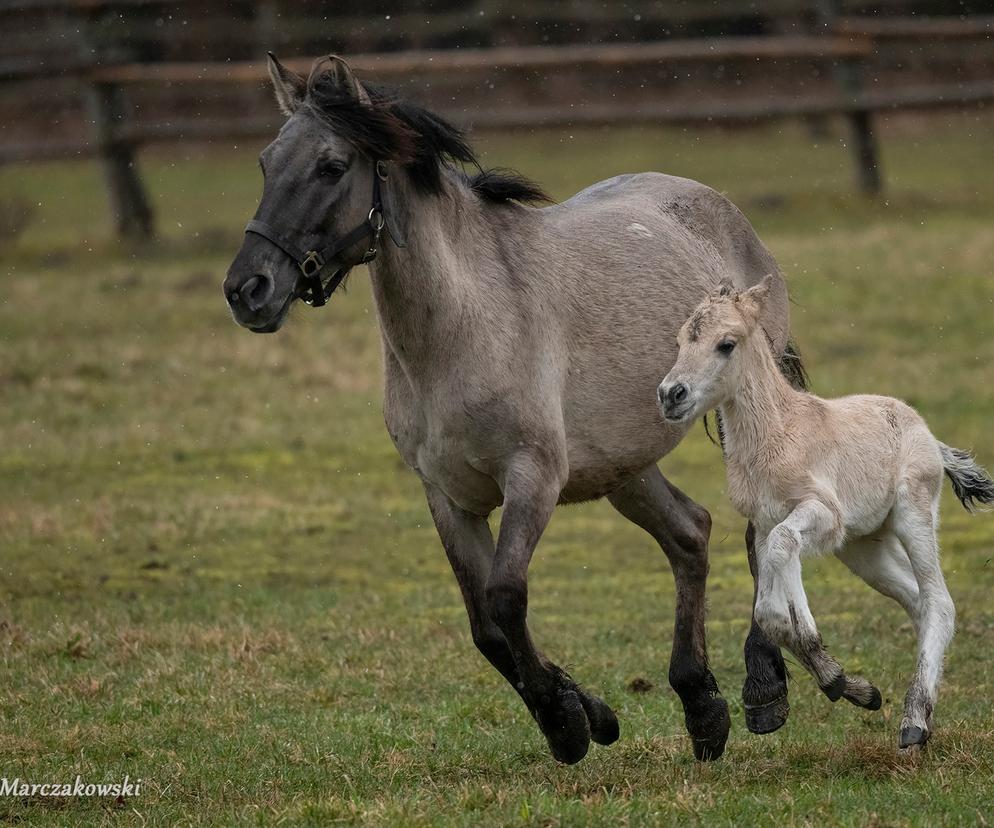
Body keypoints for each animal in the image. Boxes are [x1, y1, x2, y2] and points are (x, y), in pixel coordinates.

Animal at [223, 53, 800, 764]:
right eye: (266, 163)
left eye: (331, 166)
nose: (248, 290)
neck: (465, 326)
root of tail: (720, 212)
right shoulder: (448, 495)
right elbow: (485, 628)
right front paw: (589, 712)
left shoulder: (532, 477)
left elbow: (504, 599)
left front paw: (567, 723)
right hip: (623, 463)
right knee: (690, 534)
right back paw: (702, 705)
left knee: (758, 528)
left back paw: (763, 689)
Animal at [656, 276, 988, 752]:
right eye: (682, 340)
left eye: (726, 344)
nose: (670, 395)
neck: (778, 433)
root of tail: (929, 436)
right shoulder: (765, 523)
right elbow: (769, 611)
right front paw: (848, 685)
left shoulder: (821, 514)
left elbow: (785, 552)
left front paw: (827, 667)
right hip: (863, 548)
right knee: (917, 600)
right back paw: (914, 715)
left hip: (913, 517)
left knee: (939, 601)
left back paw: (914, 724)